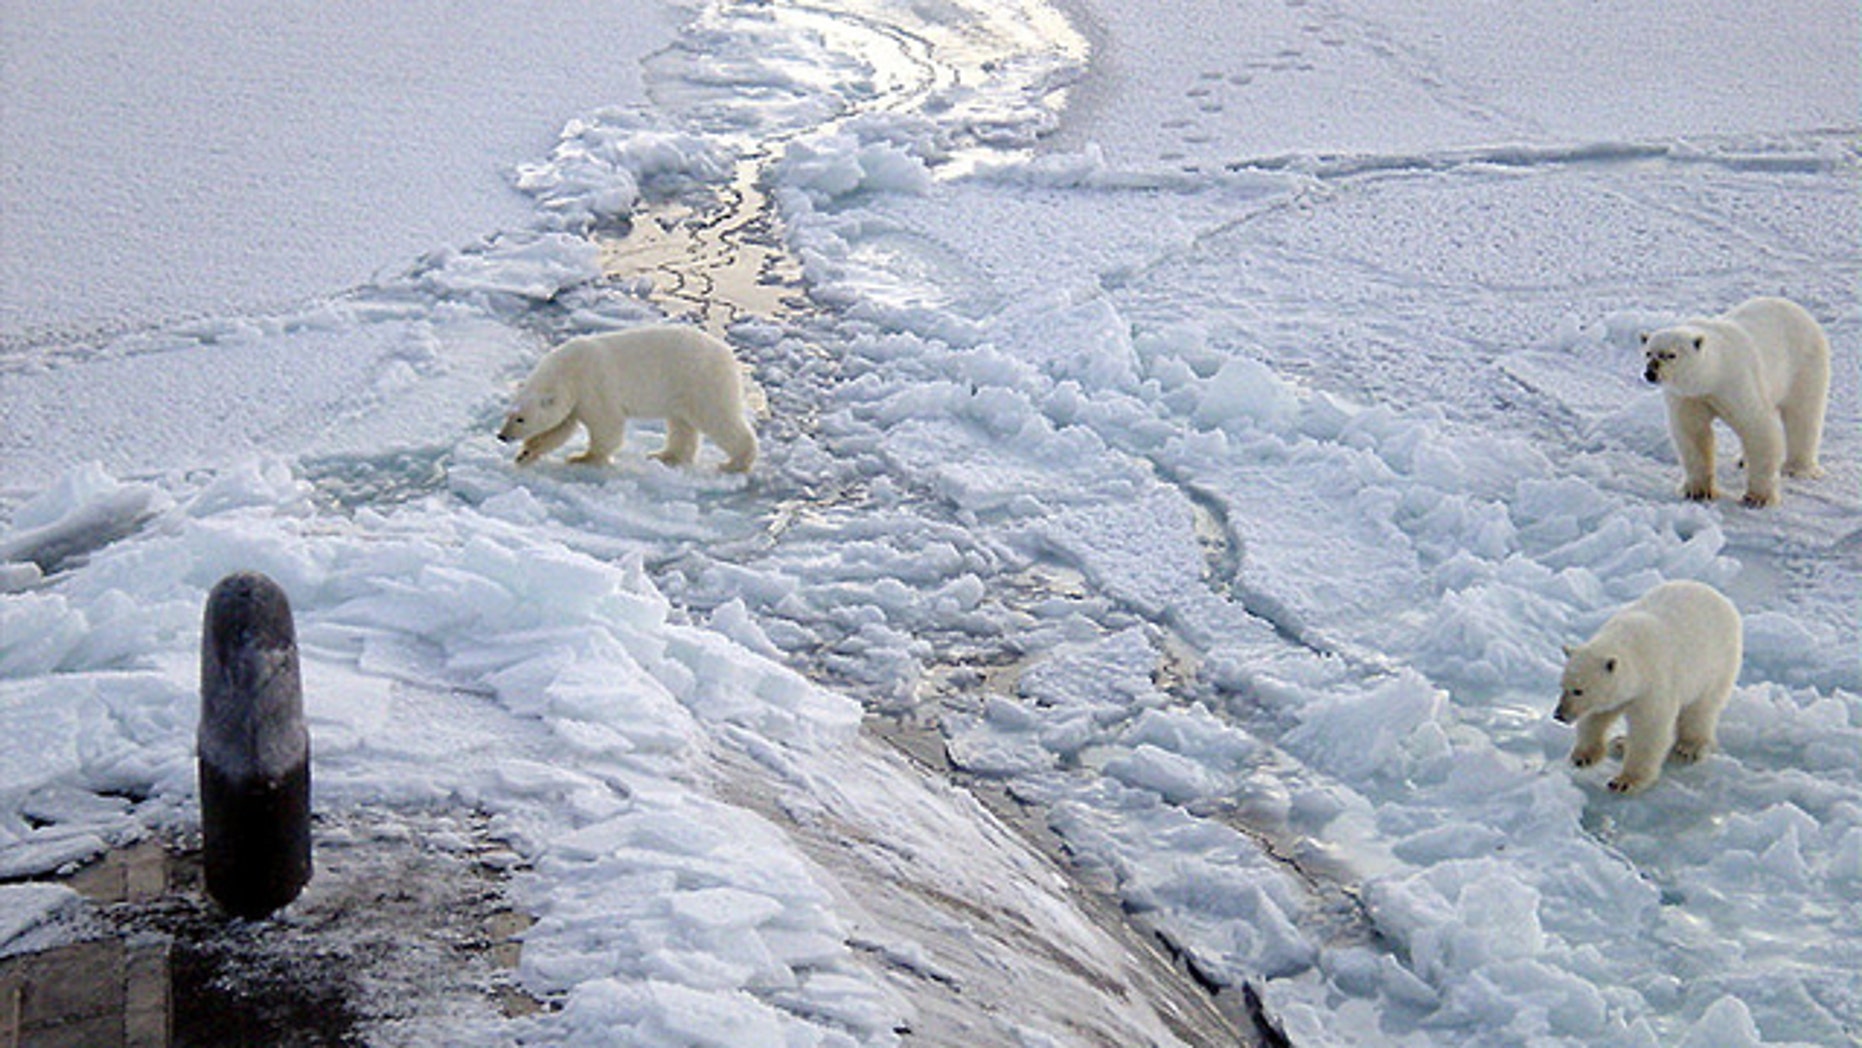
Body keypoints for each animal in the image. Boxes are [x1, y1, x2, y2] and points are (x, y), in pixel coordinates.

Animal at [499, 325, 759, 472]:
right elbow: (559, 428)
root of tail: (729, 355)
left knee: (718, 418)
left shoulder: (593, 385)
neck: (568, 370)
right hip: (682, 391)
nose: (502, 436)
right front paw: (526, 454)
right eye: (509, 414)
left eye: (521, 419)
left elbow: (607, 425)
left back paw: (735, 463)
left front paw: (582, 458)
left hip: (701, 381)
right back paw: (666, 456)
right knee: (681, 424)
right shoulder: (573, 398)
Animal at [1556, 580, 1742, 796]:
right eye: (1563, 686)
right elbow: (1596, 717)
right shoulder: (1621, 693)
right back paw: (1621, 742)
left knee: (1701, 709)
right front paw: (1583, 756)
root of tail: (1719, 597)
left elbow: (1650, 728)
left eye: (1579, 690)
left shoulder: (1653, 684)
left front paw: (1623, 781)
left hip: (1717, 665)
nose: (1559, 715)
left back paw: (1688, 747)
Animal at [1646, 295, 1832, 510]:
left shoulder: (1737, 381)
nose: (1650, 373)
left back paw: (1797, 468)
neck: (1715, 371)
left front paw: (1757, 498)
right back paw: (1744, 460)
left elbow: (1759, 428)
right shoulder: (1689, 397)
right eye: (1648, 353)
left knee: (1803, 414)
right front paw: (1698, 491)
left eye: (1671, 355)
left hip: (1805, 363)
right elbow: (1693, 433)